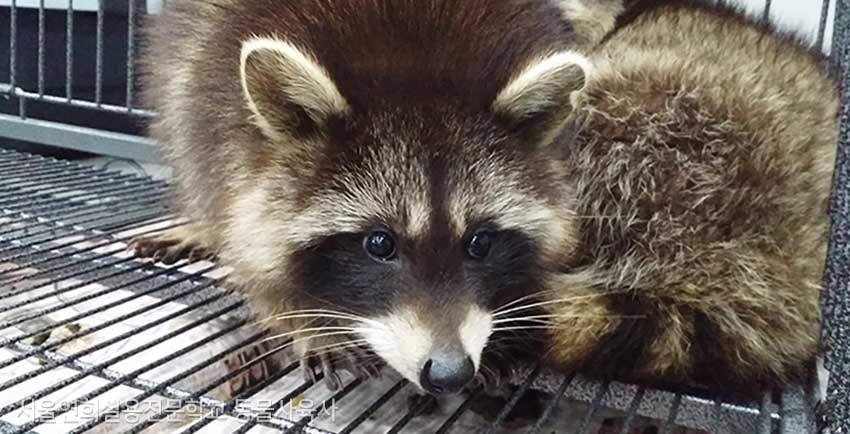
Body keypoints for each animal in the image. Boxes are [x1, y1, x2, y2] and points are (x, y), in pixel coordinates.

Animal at [136, 0, 840, 396]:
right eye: (377, 245)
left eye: (480, 242)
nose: (449, 373)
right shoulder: (206, 90)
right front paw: (294, 306)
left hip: (678, 124)